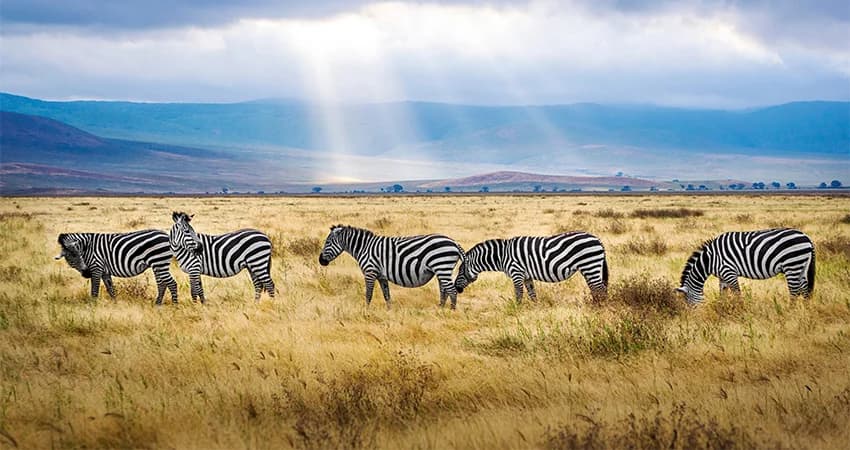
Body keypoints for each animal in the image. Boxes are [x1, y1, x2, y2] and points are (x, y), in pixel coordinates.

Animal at [318, 225, 465, 309]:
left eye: (327, 242)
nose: (321, 261)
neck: (364, 248)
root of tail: (454, 243)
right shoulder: (381, 276)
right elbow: (387, 295)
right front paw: (389, 311)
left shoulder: (370, 272)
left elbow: (368, 294)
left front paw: (366, 311)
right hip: (442, 270)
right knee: (444, 290)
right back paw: (440, 309)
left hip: (442, 267)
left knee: (452, 291)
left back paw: (451, 312)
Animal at [453, 232, 609, 302]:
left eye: (460, 271)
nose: (456, 288)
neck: (502, 256)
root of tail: (598, 240)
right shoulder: (527, 276)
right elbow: (532, 294)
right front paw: (535, 310)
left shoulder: (516, 273)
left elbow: (519, 294)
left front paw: (517, 310)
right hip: (590, 268)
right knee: (596, 289)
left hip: (590, 265)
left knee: (600, 289)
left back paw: (599, 308)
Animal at [677, 228, 815, 304]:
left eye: (688, 301)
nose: (693, 316)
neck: (710, 260)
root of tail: (806, 237)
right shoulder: (722, 276)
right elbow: (723, 294)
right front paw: (722, 308)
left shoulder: (729, 272)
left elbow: (737, 294)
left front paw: (740, 311)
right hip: (802, 266)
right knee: (805, 290)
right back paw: (806, 312)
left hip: (792, 265)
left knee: (794, 292)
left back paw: (789, 313)